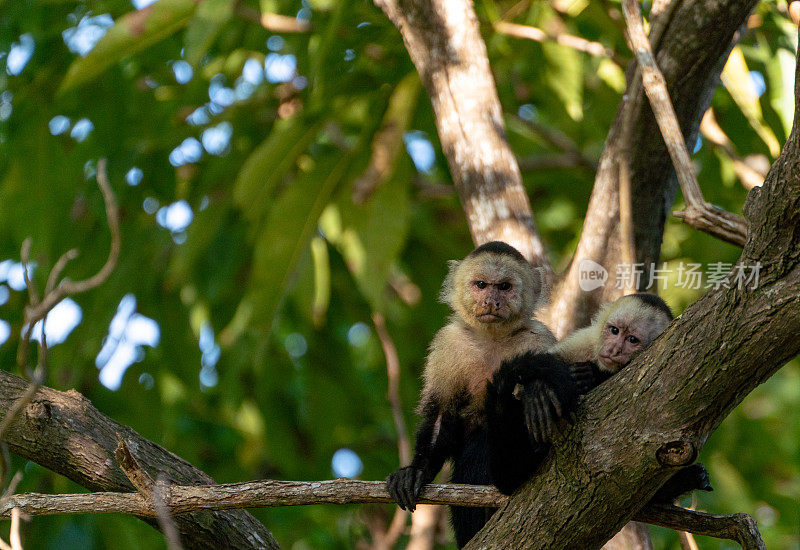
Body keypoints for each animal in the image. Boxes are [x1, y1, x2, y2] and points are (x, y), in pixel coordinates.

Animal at [386, 244, 568, 548]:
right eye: (481, 285)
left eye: (504, 287)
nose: (492, 302)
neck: (492, 337)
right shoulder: (448, 343)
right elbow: (440, 413)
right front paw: (416, 470)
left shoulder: (538, 338)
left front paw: (538, 393)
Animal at [484, 296, 708, 502]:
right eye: (614, 330)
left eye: (632, 340)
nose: (613, 349)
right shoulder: (582, 343)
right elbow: (547, 365)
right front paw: (538, 390)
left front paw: (588, 377)